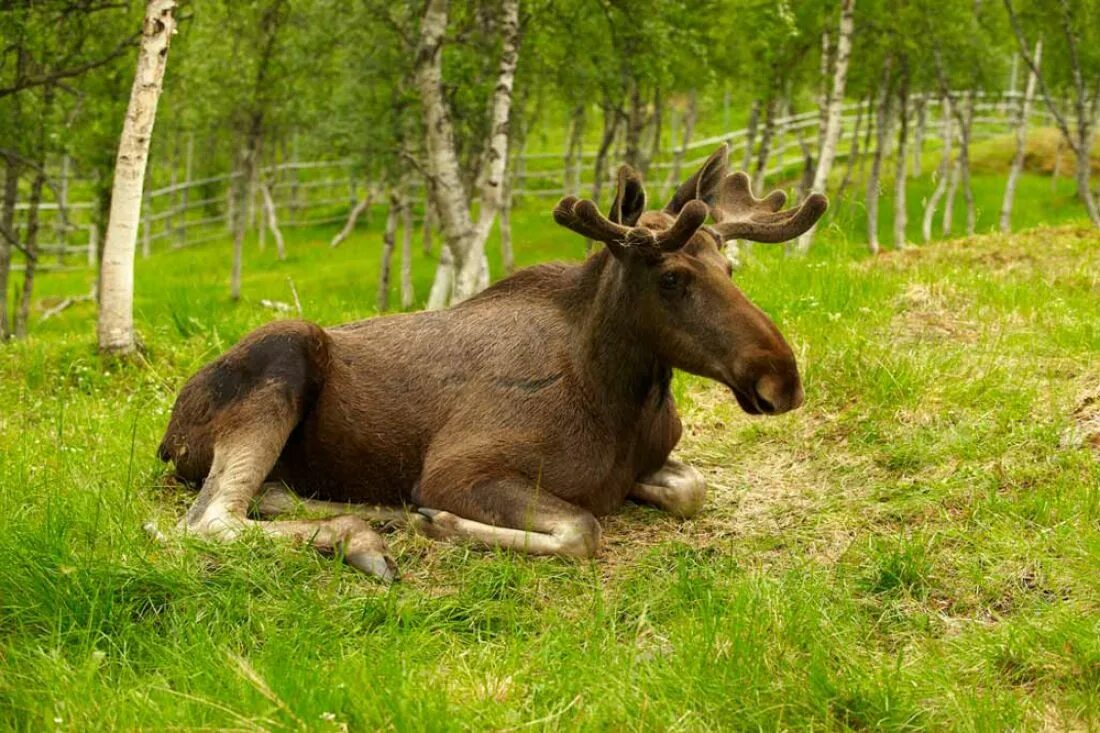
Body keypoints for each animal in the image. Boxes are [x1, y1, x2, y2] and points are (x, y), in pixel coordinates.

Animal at [152, 144, 827, 576]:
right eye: (671, 278)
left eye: (730, 267)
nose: (782, 379)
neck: (619, 395)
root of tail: (167, 436)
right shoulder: (459, 470)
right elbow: (584, 529)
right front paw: (441, 524)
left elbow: (692, 488)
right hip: (283, 352)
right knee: (204, 521)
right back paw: (366, 536)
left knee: (263, 496)